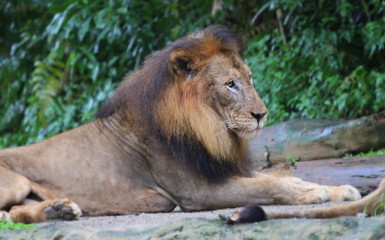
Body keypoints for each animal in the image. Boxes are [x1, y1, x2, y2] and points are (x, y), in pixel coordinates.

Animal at [0, 25, 380, 223]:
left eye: (250, 79)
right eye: (230, 84)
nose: (262, 115)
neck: (209, 129)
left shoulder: (221, 169)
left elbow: (286, 177)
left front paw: (338, 190)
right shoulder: (196, 192)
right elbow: (271, 186)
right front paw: (316, 193)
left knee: (16, 211)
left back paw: (59, 209)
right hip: (14, 182)